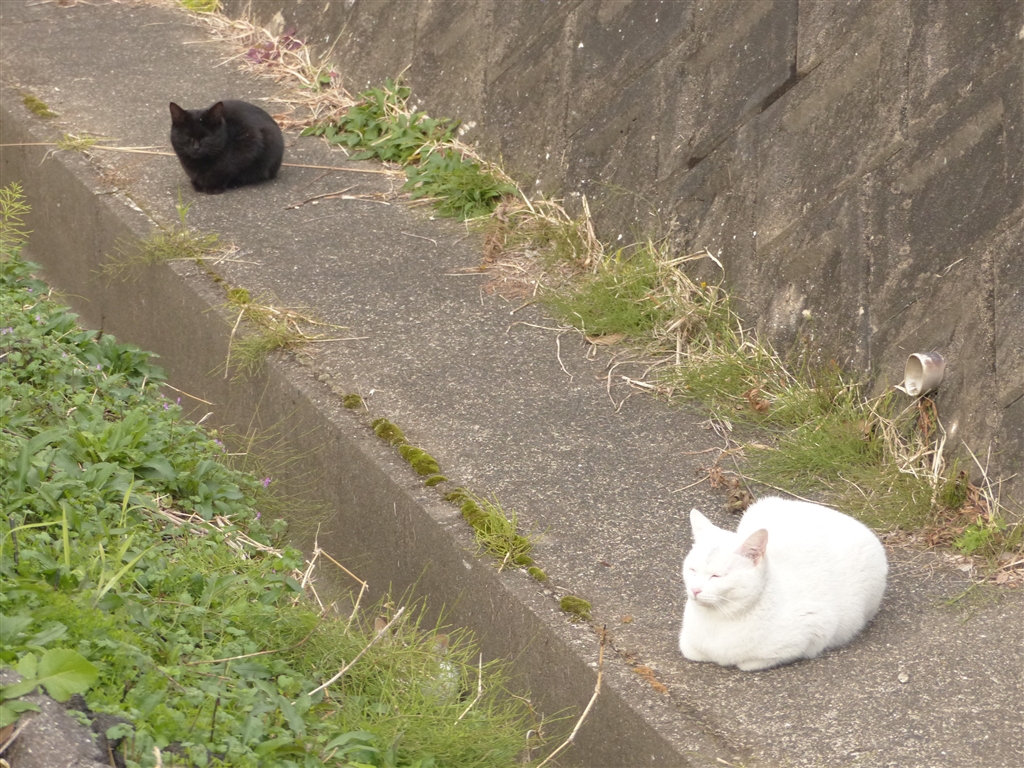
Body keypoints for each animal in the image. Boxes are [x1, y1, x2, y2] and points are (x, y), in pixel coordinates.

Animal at [679, 496, 887, 671]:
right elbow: (691, 650)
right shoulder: (688, 643)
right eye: (692, 570)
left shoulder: (815, 628)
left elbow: (749, 662)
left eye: (716, 576)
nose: (695, 590)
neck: (716, 619)